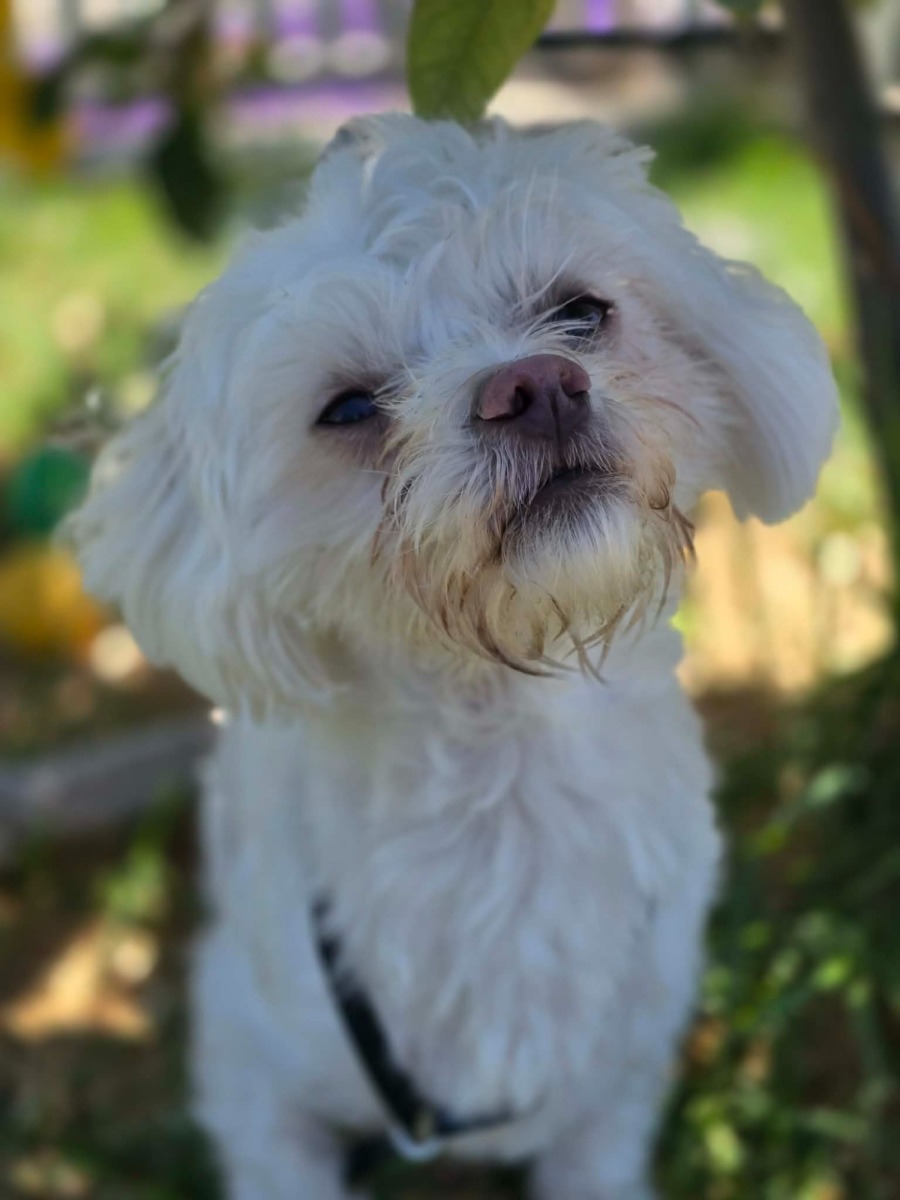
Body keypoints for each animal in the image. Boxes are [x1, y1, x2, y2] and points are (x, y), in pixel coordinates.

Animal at [68, 115, 838, 1199]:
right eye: (348, 408)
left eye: (581, 311)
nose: (537, 384)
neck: (509, 779)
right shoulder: (249, 1065)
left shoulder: (616, 1093)